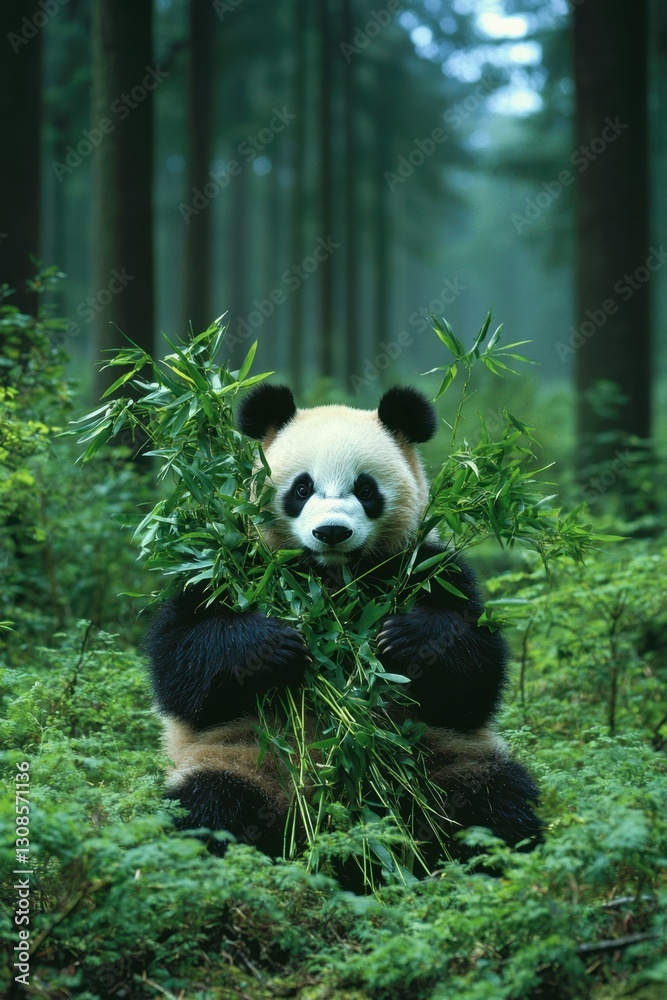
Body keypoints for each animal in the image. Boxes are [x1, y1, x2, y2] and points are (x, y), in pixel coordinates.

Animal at [147, 384, 542, 868]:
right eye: (302, 487)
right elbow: (184, 665)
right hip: (241, 759)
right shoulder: (224, 565)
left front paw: (405, 639)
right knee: (206, 809)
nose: (332, 532)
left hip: (447, 762)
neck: (333, 582)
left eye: (365, 488)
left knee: (494, 804)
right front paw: (275, 645)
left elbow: (474, 677)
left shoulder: (426, 565)